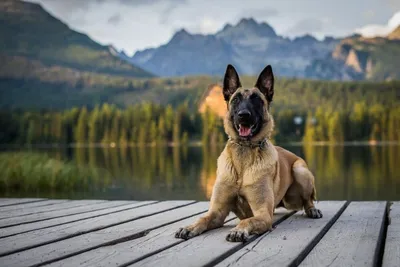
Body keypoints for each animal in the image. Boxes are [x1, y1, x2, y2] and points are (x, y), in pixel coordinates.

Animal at [175, 64, 322, 243]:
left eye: (256, 99)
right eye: (236, 100)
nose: (243, 115)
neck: (244, 154)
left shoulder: (263, 214)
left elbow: (247, 220)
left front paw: (238, 230)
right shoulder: (217, 211)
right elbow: (203, 218)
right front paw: (189, 227)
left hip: (300, 171)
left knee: (308, 200)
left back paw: (312, 210)